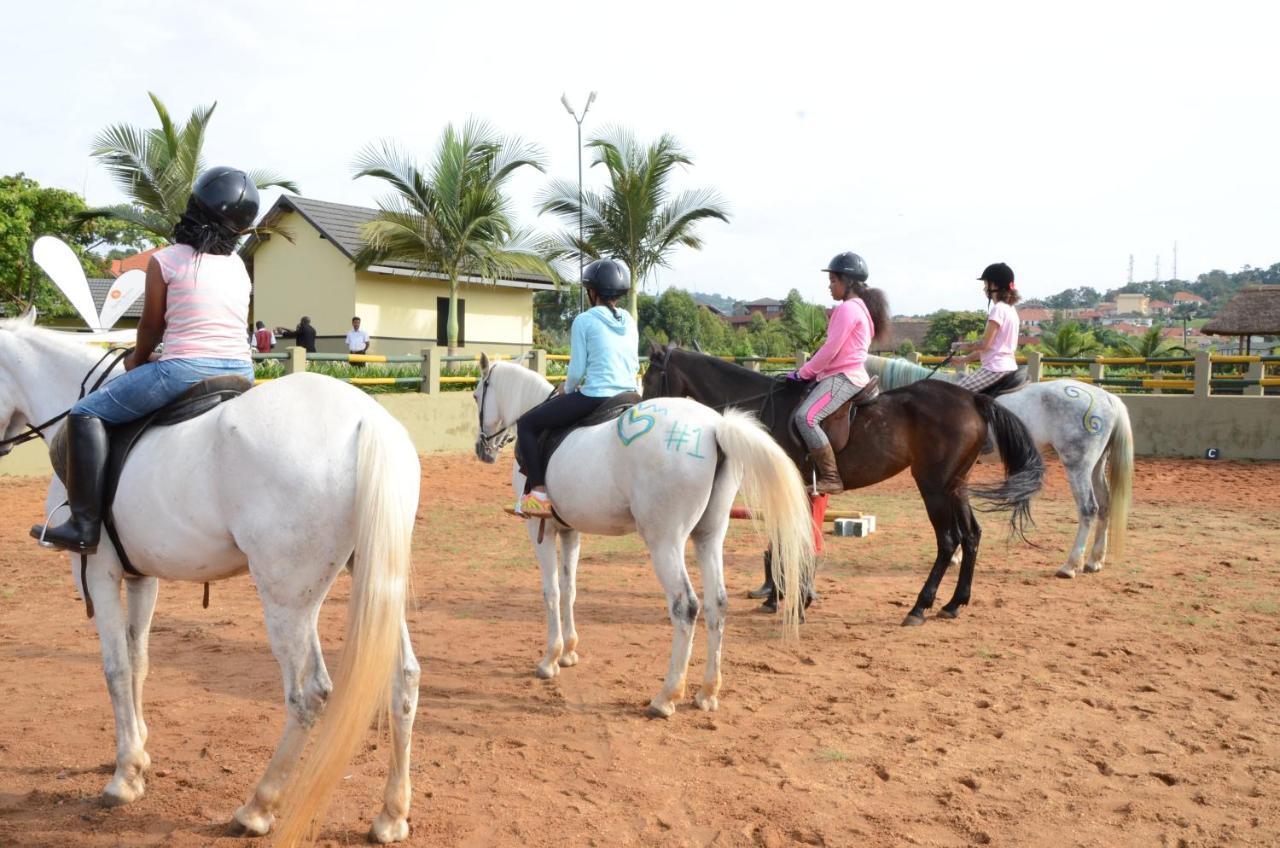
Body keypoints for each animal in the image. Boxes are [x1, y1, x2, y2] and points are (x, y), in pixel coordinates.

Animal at [0, 313, 424, 848]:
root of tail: (366, 420)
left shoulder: (98, 572)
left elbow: (115, 668)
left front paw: (124, 777)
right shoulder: (142, 578)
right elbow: (139, 663)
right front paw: (138, 754)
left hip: (288, 600)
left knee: (307, 695)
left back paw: (257, 808)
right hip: (374, 576)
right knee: (402, 679)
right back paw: (391, 815)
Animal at [476, 356, 814, 722]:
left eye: (478, 394)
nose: (483, 449)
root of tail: (714, 428)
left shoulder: (543, 531)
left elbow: (551, 591)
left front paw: (550, 659)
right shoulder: (569, 530)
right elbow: (569, 589)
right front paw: (568, 652)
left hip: (664, 542)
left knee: (686, 606)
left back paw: (666, 697)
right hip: (709, 536)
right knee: (717, 604)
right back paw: (707, 693)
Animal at [640, 343, 1039, 627]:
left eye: (649, 377)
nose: (641, 412)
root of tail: (973, 398)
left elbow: (793, 540)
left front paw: (795, 600)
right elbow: (784, 539)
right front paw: (780, 596)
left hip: (934, 486)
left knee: (948, 540)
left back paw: (919, 607)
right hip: (955, 486)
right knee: (971, 535)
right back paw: (955, 603)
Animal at [870, 356, 1131, 581]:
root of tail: (1107, 397)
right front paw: (959, 553)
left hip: (1078, 465)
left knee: (1088, 508)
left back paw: (1070, 565)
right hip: (1096, 465)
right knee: (1105, 505)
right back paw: (1094, 561)